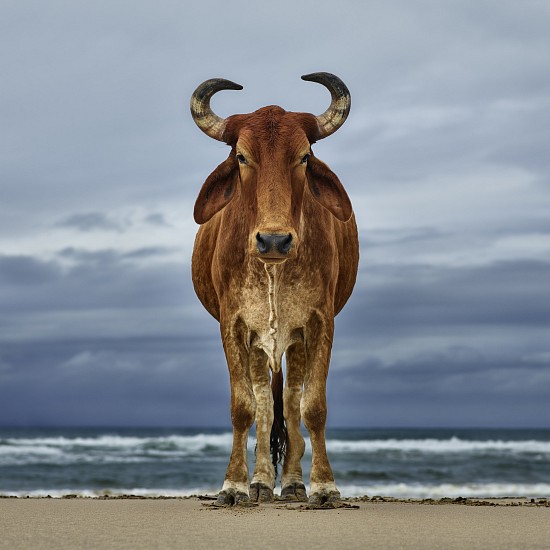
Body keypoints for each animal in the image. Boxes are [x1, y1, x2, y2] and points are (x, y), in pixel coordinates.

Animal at [191, 74, 362, 508]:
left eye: (303, 156)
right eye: (241, 157)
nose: (273, 240)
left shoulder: (319, 323)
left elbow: (313, 407)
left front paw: (324, 486)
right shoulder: (234, 326)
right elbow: (244, 408)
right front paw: (234, 485)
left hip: (295, 342)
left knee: (291, 403)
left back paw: (293, 484)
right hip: (258, 345)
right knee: (267, 407)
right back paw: (262, 483)